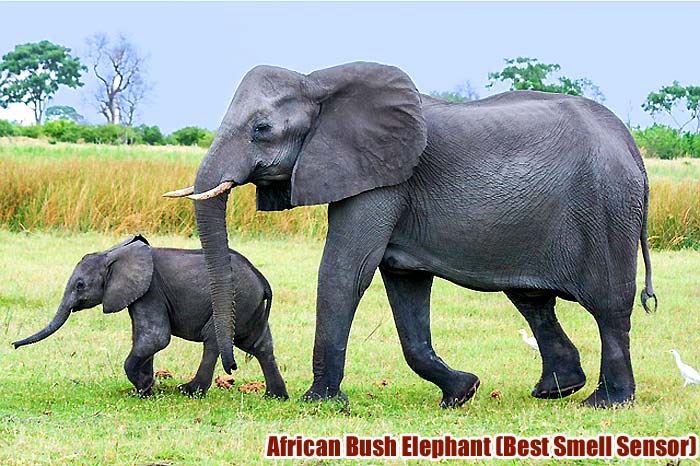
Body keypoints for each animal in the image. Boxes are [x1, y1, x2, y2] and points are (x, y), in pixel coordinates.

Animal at [13, 235, 288, 399]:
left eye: (80, 285)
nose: (14, 345)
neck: (113, 254)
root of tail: (262, 280)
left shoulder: (151, 290)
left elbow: (156, 338)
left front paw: (144, 388)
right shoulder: (139, 295)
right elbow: (144, 339)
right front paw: (145, 388)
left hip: (236, 301)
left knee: (213, 340)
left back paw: (188, 391)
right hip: (249, 307)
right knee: (260, 345)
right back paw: (275, 396)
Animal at [165, 61, 656, 408]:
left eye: (261, 129)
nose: (232, 368)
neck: (319, 82)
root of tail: (632, 146)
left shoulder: (384, 179)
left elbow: (346, 270)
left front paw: (320, 402)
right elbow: (404, 287)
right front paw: (462, 392)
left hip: (608, 210)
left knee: (610, 307)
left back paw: (605, 403)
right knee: (533, 301)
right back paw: (555, 391)